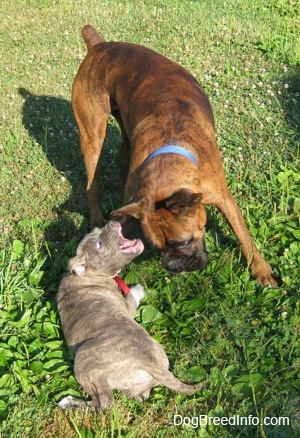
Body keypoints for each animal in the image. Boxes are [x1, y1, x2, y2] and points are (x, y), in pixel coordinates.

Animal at [71, 24, 280, 286]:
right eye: (156, 247)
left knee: (121, 157)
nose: (172, 267)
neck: (169, 155)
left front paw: (261, 269)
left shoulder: (224, 200)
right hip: (92, 134)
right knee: (92, 184)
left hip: (124, 125)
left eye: (182, 243)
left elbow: (243, 236)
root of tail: (99, 45)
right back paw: (97, 218)